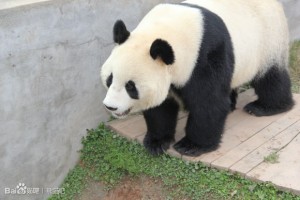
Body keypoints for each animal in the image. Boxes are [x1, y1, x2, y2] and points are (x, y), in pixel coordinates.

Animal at [100, 0, 292, 156]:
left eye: (130, 86)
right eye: (110, 79)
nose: (110, 106)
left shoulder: (205, 54)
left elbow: (208, 102)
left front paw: (191, 146)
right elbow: (161, 107)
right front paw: (157, 142)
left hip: (268, 37)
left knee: (270, 77)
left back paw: (266, 107)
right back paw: (232, 104)